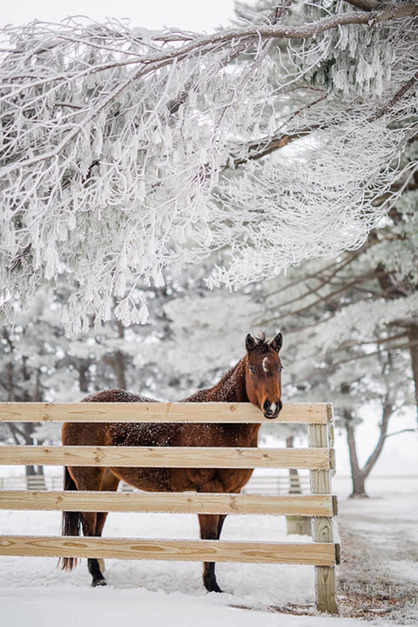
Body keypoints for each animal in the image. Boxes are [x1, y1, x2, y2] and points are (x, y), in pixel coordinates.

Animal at [61, 334, 284, 592]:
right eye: (252, 368)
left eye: (279, 367)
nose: (272, 407)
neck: (221, 424)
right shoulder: (209, 489)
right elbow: (209, 536)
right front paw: (212, 585)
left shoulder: (230, 492)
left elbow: (216, 537)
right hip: (88, 480)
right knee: (88, 525)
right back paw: (97, 577)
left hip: (106, 482)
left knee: (96, 526)